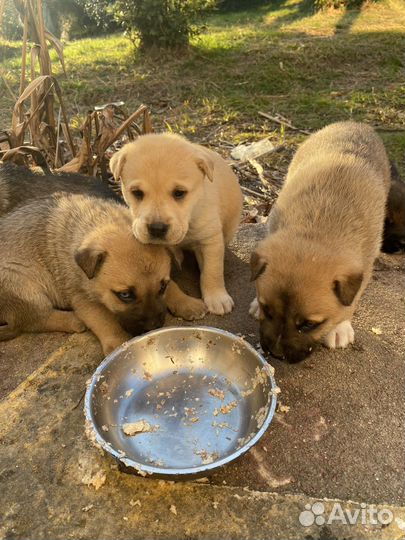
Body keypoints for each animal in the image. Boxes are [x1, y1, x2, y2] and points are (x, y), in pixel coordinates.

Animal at [0, 193, 170, 354]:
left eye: (162, 287)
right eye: (125, 295)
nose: (155, 326)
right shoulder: (81, 296)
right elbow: (104, 319)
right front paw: (118, 343)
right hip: (21, 282)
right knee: (35, 320)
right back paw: (74, 321)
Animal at [109, 133, 241, 316]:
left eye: (179, 193)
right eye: (137, 193)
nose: (157, 229)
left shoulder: (210, 239)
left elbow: (212, 271)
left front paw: (217, 298)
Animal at [248, 120, 390, 360]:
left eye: (308, 325)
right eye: (268, 310)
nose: (276, 355)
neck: (315, 229)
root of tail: (353, 123)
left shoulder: (366, 265)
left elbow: (351, 302)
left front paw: (339, 327)